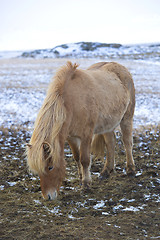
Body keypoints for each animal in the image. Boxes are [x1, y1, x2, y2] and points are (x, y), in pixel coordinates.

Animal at [27, 61, 135, 200]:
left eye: (50, 167)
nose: (48, 197)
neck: (71, 104)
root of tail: (121, 67)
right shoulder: (70, 137)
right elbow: (76, 157)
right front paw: (80, 177)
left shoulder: (86, 135)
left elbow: (85, 159)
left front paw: (86, 184)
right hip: (107, 125)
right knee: (111, 143)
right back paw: (106, 171)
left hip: (127, 118)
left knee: (127, 142)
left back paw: (130, 170)